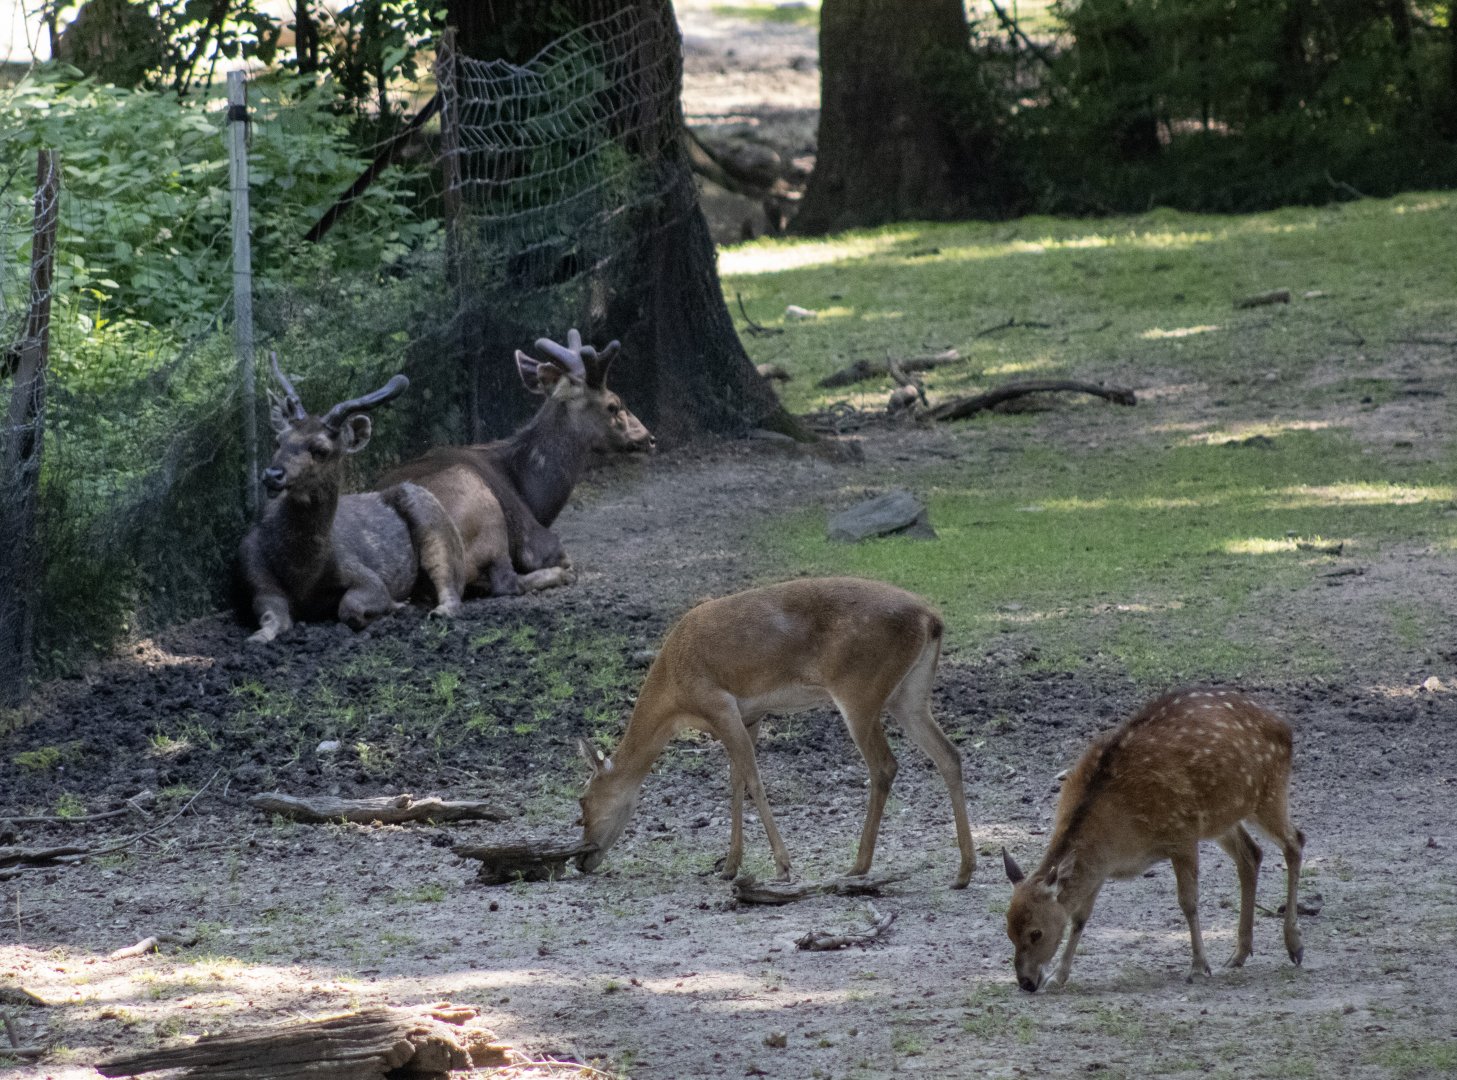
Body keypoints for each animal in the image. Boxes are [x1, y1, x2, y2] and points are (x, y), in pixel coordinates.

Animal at [237, 354, 466, 644]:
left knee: (451, 586)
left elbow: (351, 606)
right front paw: (258, 637)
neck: (302, 574)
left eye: (321, 450)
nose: (272, 474)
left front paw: (394, 606)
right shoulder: (254, 575)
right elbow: (272, 617)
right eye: (279, 440)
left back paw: (436, 609)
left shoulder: (364, 573)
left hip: (435, 524)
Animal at [376, 329, 654, 597]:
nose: (649, 438)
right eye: (613, 405)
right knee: (505, 582)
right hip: (482, 511)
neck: (533, 494)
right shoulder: (536, 540)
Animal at [575, 577, 977, 888]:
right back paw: (963, 872)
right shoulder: (750, 715)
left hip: (859, 691)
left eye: (582, 801)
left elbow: (752, 779)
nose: (581, 859)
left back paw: (858, 866)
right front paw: (729, 867)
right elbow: (735, 781)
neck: (675, 699)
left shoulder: (718, 703)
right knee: (949, 754)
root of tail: (932, 619)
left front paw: (782, 866)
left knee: (884, 765)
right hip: (910, 696)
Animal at [1002, 688, 1306, 992]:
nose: (1026, 982)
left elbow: (1188, 902)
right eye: (1008, 930)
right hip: (1222, 817)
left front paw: (1198, 967)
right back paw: (1239, 954)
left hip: (1269, 794)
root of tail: (1285, 726)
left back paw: (1294, 945)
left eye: (1036, 932)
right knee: (1252, 854)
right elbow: (1079, 917)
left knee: (1296, 841)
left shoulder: (1182, 834)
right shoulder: (1099, 866)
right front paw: (1059, 976)